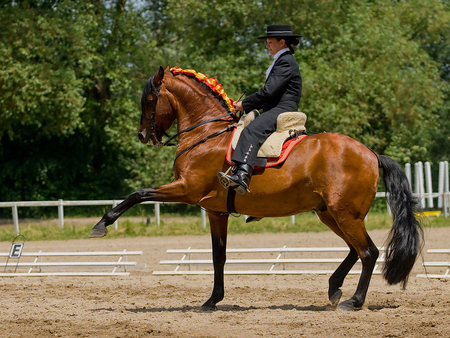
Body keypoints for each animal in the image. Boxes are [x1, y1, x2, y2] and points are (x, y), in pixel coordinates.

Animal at [90, 66, 422, 312]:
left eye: (149, 100)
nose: (142, 135)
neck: (207, 134)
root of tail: (371, 153)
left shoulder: (186, 189)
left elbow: (138, 194)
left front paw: (102, 224)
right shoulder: (216, 211)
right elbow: (219, 257)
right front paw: (212, 301)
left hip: (345, 214)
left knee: (368, 252)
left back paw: (354, 301)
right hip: (330, 213)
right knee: (355, 250)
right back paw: (334, 288)